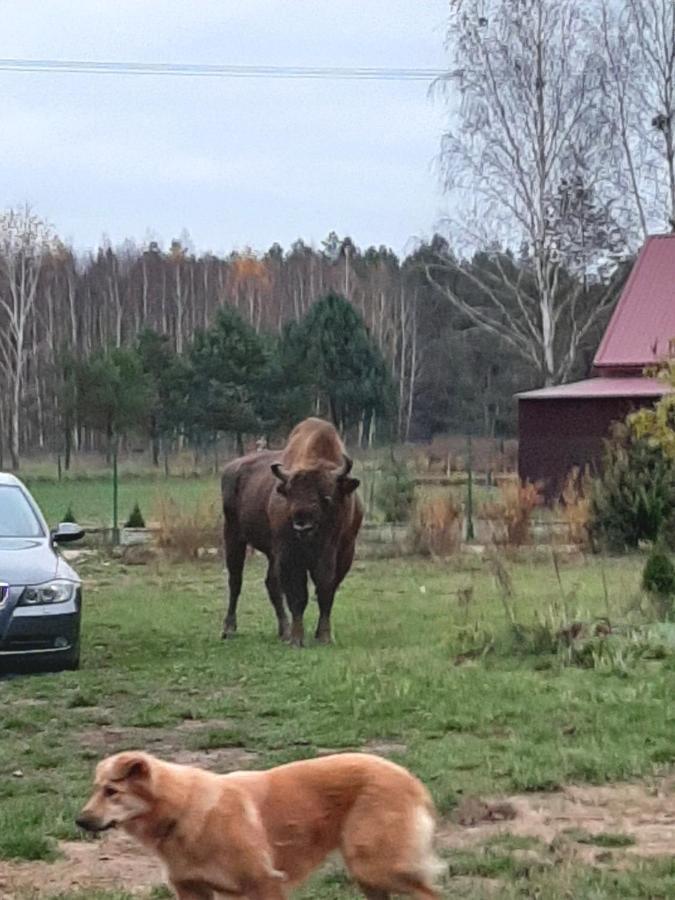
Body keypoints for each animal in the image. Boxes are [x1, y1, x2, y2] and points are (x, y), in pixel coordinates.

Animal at [76, 752, 446, 900]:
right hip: (368, 876)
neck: (183, 811)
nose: (79, 820)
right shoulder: (193, 891)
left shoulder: (264, 884)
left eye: (111, 792)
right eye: (95, 789)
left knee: (431, 893)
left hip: (373, 866)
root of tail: (409, 778)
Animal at [220, 418, 360, 644]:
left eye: (326, 497)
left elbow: (326, 590)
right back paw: (229, 629)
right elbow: (298, 596)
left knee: (271, 584)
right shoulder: (289, 555)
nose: (302, 526)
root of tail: (231, 467)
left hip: (270, 552)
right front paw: (297, 639)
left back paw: (283, 630)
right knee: (236, 581)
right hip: (233, 536)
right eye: (290, 495)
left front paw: (323, 636)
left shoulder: (342, 554)